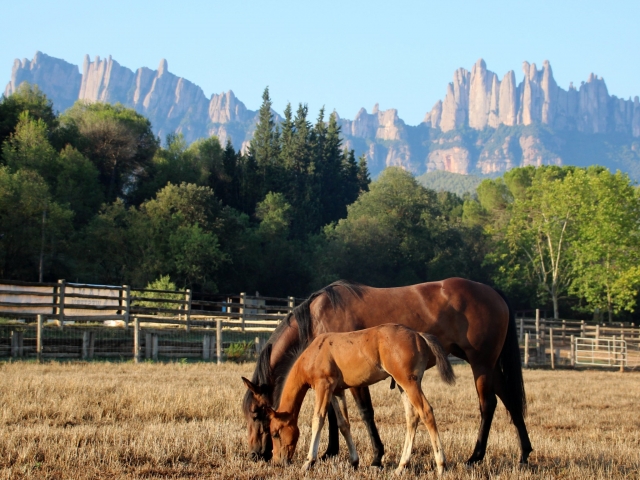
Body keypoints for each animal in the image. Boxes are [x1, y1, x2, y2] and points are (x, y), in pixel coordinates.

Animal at [243, 324, 456, 475]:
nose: (278, 461)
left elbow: (318, 420)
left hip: (409, 383)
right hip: (402, 385)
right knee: (412, 417)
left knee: (426, 412)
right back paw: (401, 466)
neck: (314, 352)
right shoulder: (336, 391)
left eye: (275, 433)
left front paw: (308, 462)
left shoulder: (323, 386)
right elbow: (343, 424)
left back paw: (441, 465)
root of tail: (419, 335)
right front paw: (354, 461)